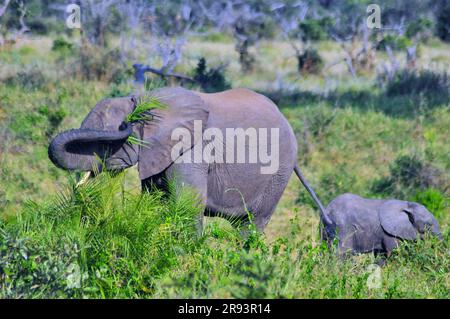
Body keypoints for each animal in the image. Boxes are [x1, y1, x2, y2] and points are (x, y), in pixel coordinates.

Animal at [48, 87, 330, 231]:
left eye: (105, 144)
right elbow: (157, 201)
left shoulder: (192, 150)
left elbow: (187, 205)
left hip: (278, 173)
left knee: (252, 225)